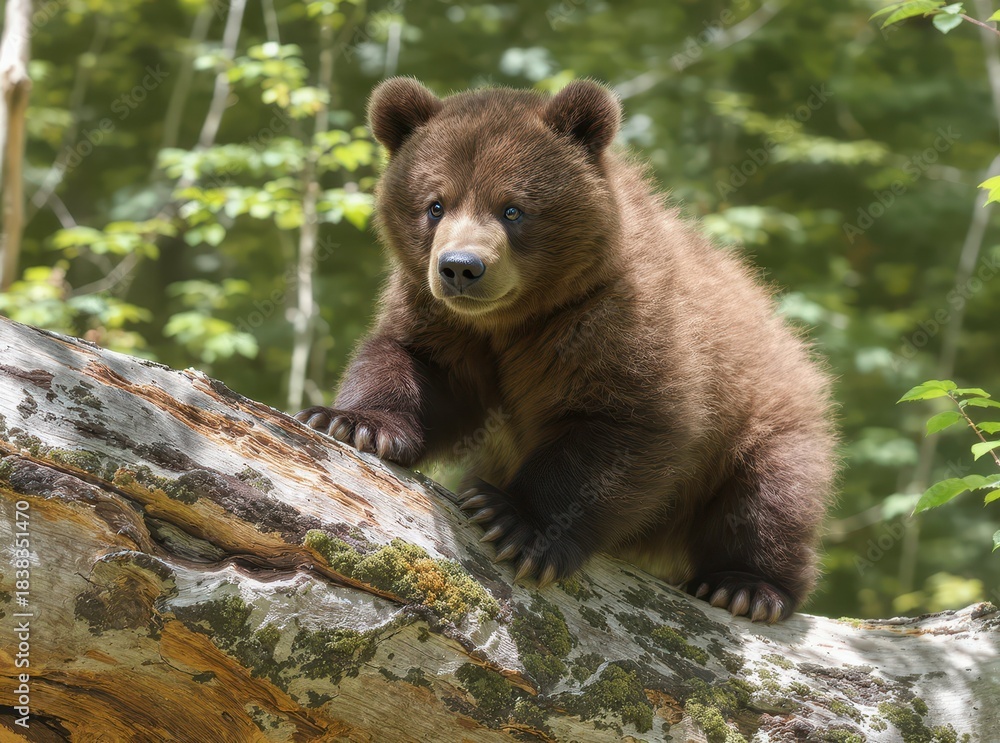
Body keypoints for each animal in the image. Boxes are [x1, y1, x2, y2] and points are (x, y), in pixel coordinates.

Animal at [296, 77, 837, 623]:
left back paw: (747, 588)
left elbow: (617, 426)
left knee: (769, 496)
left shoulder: (614, 321)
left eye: (513, 208)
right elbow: (414, 363)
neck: (517, 318)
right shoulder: (443, 320)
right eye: (435, 204)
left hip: (766, 417)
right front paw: (355, 423)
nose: (461, 267)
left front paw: (517, 523)